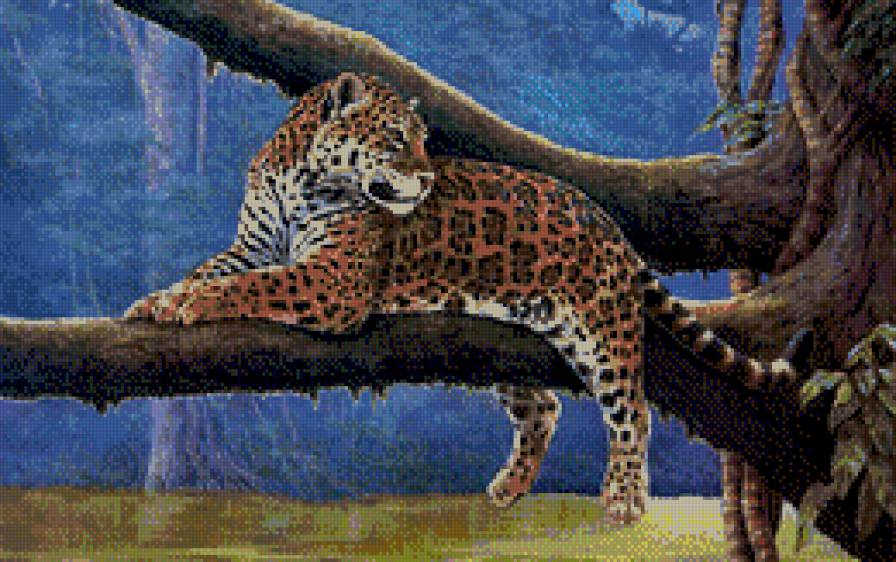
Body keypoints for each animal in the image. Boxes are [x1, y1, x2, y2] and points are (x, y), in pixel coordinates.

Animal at [126, 72, 798, 524]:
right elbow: (215, 270)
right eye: (396, 139)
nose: (426, 178)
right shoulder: (253, 245)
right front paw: (157, 300)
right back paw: (508, 486)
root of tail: (607, 222)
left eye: (424, 141)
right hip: (511, 336)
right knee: (544, 407)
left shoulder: (334, 278)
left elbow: (253, 284)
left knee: (632, 409)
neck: (300, 177)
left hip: (602, 331)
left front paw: (186, 305)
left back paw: (626, 498)